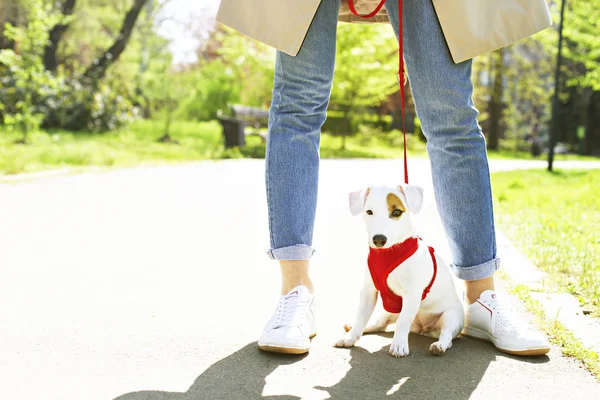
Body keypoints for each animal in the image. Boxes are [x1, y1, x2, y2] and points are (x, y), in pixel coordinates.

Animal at [336, 184, 466, 356]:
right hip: (389, 312)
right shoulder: (368, 291)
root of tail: (423, 329)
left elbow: (403, 322)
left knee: (447, 335)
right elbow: (361, 317)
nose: (379, 239)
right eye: (369, 212)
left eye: (397, 212)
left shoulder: (412, 294)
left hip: (451, 317)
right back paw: (354, 328)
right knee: (379, 324)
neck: (388, 253)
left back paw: (439, 346)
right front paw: (350, 337)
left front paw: (398, 345)